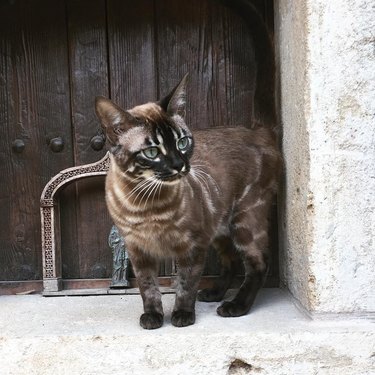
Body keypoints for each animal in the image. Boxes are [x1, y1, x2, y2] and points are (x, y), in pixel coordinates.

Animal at [94, 74, 282, 328]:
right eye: (152, 152)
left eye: (182, 143)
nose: (179, 165)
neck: (146, 203)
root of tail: (257, 131)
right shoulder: (138, 251)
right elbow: (148, 288)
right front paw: (153, 317)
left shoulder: (192, 246)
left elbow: (186, 284)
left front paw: (182, 315)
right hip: (219, 228)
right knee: (230, 261)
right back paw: (214, 294)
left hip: (244, 220)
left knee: (259, 263)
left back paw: (235, 306)